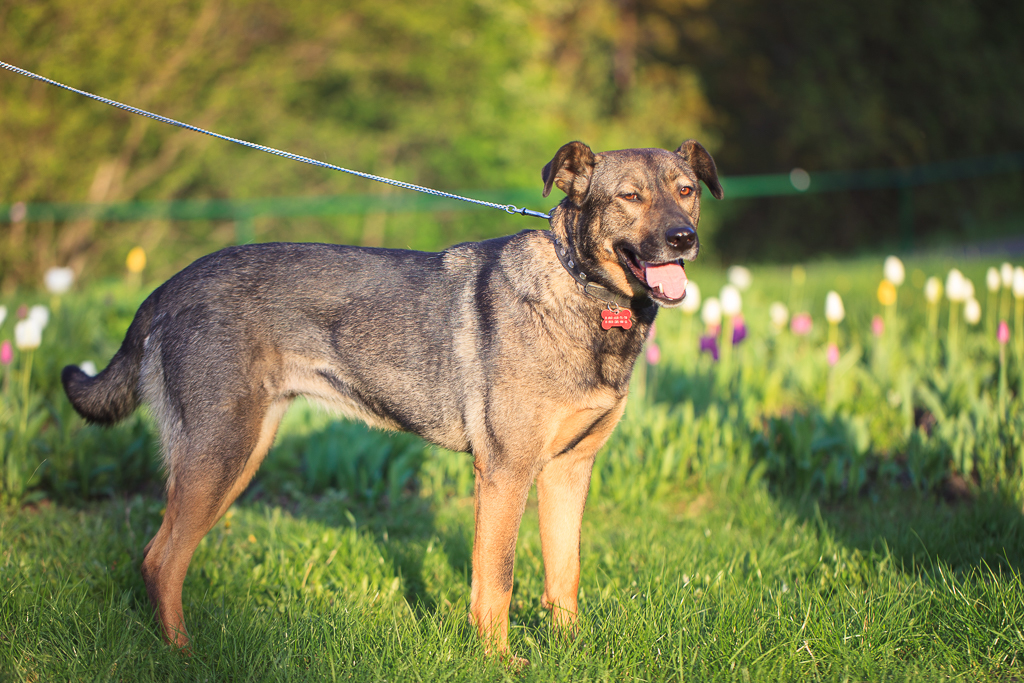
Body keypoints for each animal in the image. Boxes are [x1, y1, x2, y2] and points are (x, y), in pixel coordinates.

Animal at [61, 139, 720, 655]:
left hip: (240, 455)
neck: (585, 294)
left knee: (159, 557)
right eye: (629, 197)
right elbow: (497, 581)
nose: (683, 239)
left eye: (686, 191)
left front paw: (569, 652)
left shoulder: (568, 469)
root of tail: (167, 288)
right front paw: (499, 663)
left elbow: (564, 575)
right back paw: (184, 655)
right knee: (161, 561)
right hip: (219, 453)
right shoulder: (506, 472)